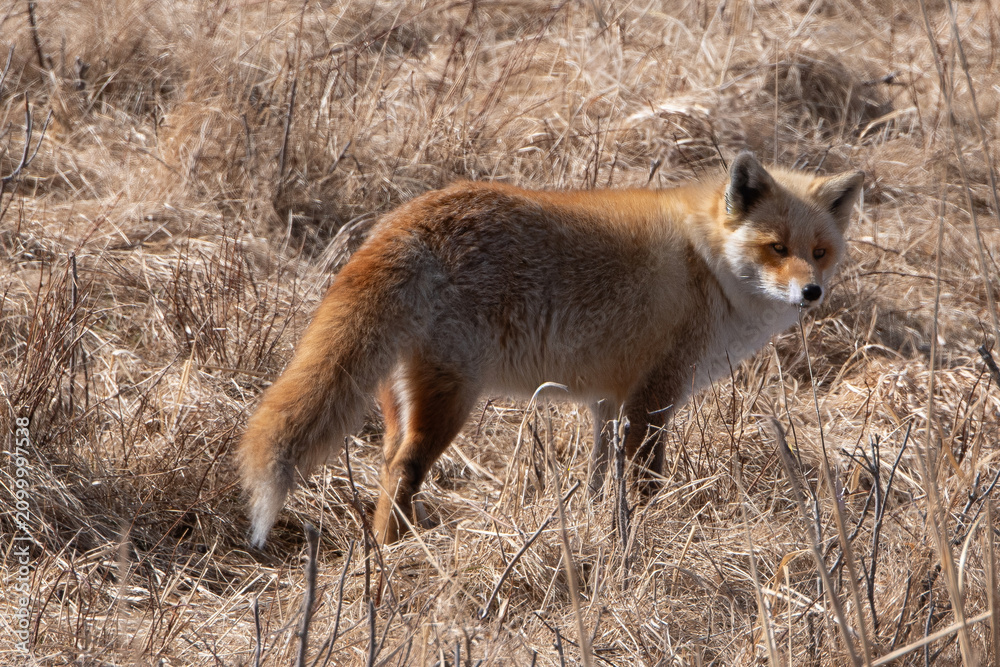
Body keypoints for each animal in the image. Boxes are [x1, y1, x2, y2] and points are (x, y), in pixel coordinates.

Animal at [238, 151, 863, 548]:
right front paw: (651, 532)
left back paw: (402, 543)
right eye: (776, 248)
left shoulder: (608, 403)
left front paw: (596, 530)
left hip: (399, 399)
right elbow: (646, 482)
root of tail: (408, 216)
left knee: (388, 470)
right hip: (450, 400)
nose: (811, 292)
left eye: (820, 251)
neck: (706, 263)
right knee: (401, 471)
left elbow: (598, 480)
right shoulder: (653, 398)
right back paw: (397, 556)